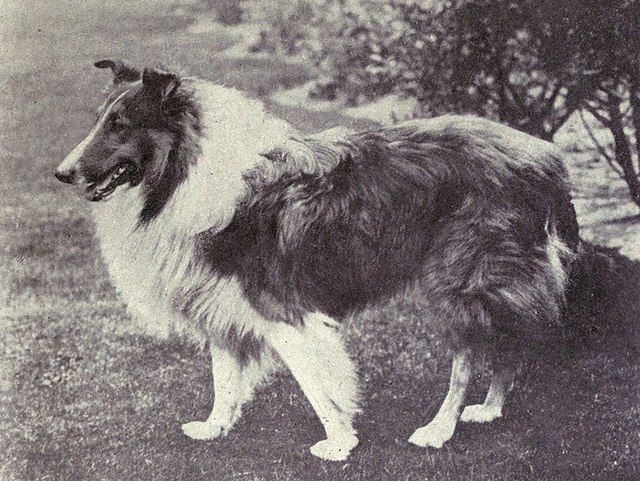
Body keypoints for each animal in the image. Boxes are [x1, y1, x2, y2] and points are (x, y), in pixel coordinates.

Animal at [55, 61, 580, 462]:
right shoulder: (219, 296)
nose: (61, 173)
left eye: (121, 124)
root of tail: (548, 153)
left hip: (460, 280)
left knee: (468, 359)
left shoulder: (282, 309)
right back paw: (490, 409)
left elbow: (314, 382)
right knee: (508, 342)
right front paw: (215, 426)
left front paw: (339, 443)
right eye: (100, 119)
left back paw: (439, 428)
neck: (184, 175)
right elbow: (224, 374)